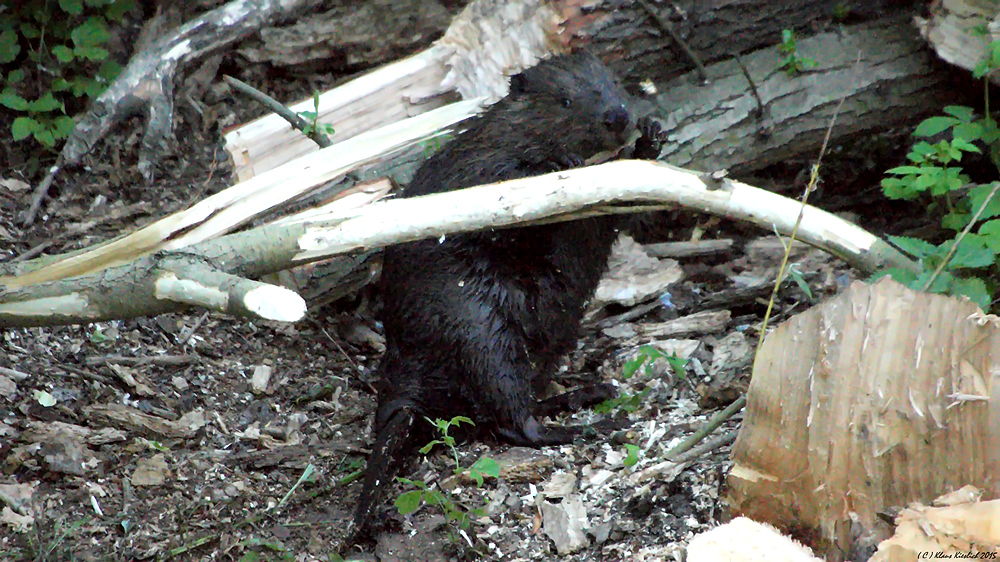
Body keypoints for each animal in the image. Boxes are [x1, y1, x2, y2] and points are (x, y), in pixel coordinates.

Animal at [354, 50, 664, 532]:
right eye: (564, 100)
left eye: (614, 82)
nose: (617, 116)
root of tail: (403, 397)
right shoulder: (478, 164)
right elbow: (508, 202)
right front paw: (563, 165)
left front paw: (650, 138)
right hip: (480, 330)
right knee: (510, 417)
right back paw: (593, 423)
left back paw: (590, 393)